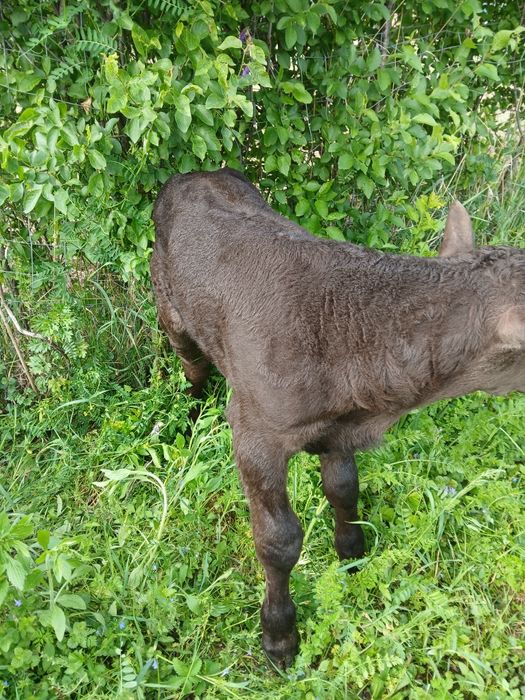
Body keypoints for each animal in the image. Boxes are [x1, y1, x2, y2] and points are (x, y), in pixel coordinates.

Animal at [151, 167, 525, 667]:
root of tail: (193, 173)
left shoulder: (340, 426)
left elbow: (345, 487)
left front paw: (352, 555)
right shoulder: (254, 429)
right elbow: (278, 540)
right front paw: (279, 638)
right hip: (170, 306)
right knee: (192, 367)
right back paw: (188, 421)